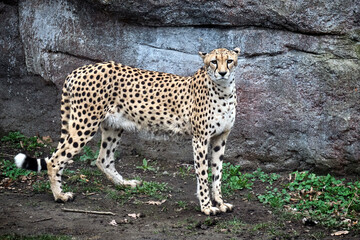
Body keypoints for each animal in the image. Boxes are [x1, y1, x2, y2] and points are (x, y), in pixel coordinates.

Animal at [14, 47, 239, 216]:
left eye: (229, 61)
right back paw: (59, 196)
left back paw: (124, 184)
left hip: (113, 125)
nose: (222, 73)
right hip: (85, 124)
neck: (224, 90)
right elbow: (203, 173)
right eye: (213, 62)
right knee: (55, 159)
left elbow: (217, 172)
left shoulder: (220, 138)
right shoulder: (200, 139)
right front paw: (207, 207)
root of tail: (81, 69)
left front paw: (220, 202)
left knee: (102, 159)